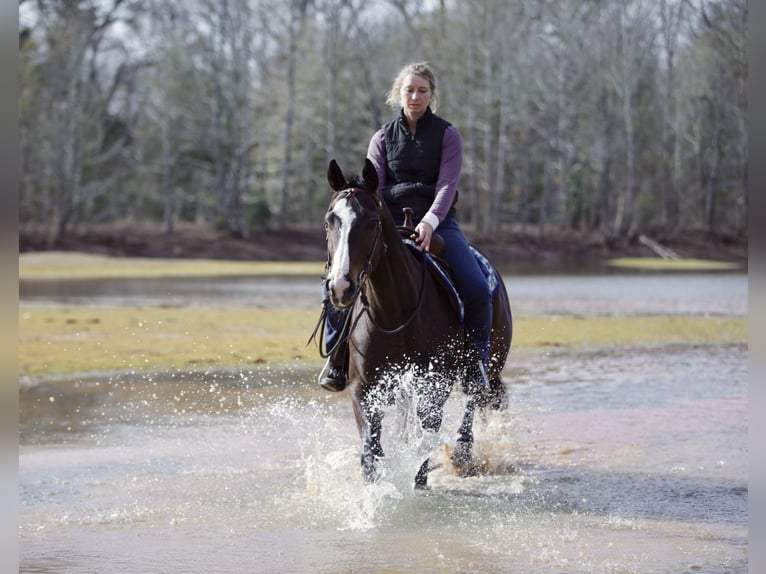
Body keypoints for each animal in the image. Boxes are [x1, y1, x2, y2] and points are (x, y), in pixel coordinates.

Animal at [321, 158, 513, 489]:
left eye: (372, 222)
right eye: (329, 221)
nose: (341, 287)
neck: (395, 313)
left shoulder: (433, 386)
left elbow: (425, 439)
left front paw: (418, 478)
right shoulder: (364, 389)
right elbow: (372, 450)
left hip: (486, 367)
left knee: (473, 400)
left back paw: (462, 453)